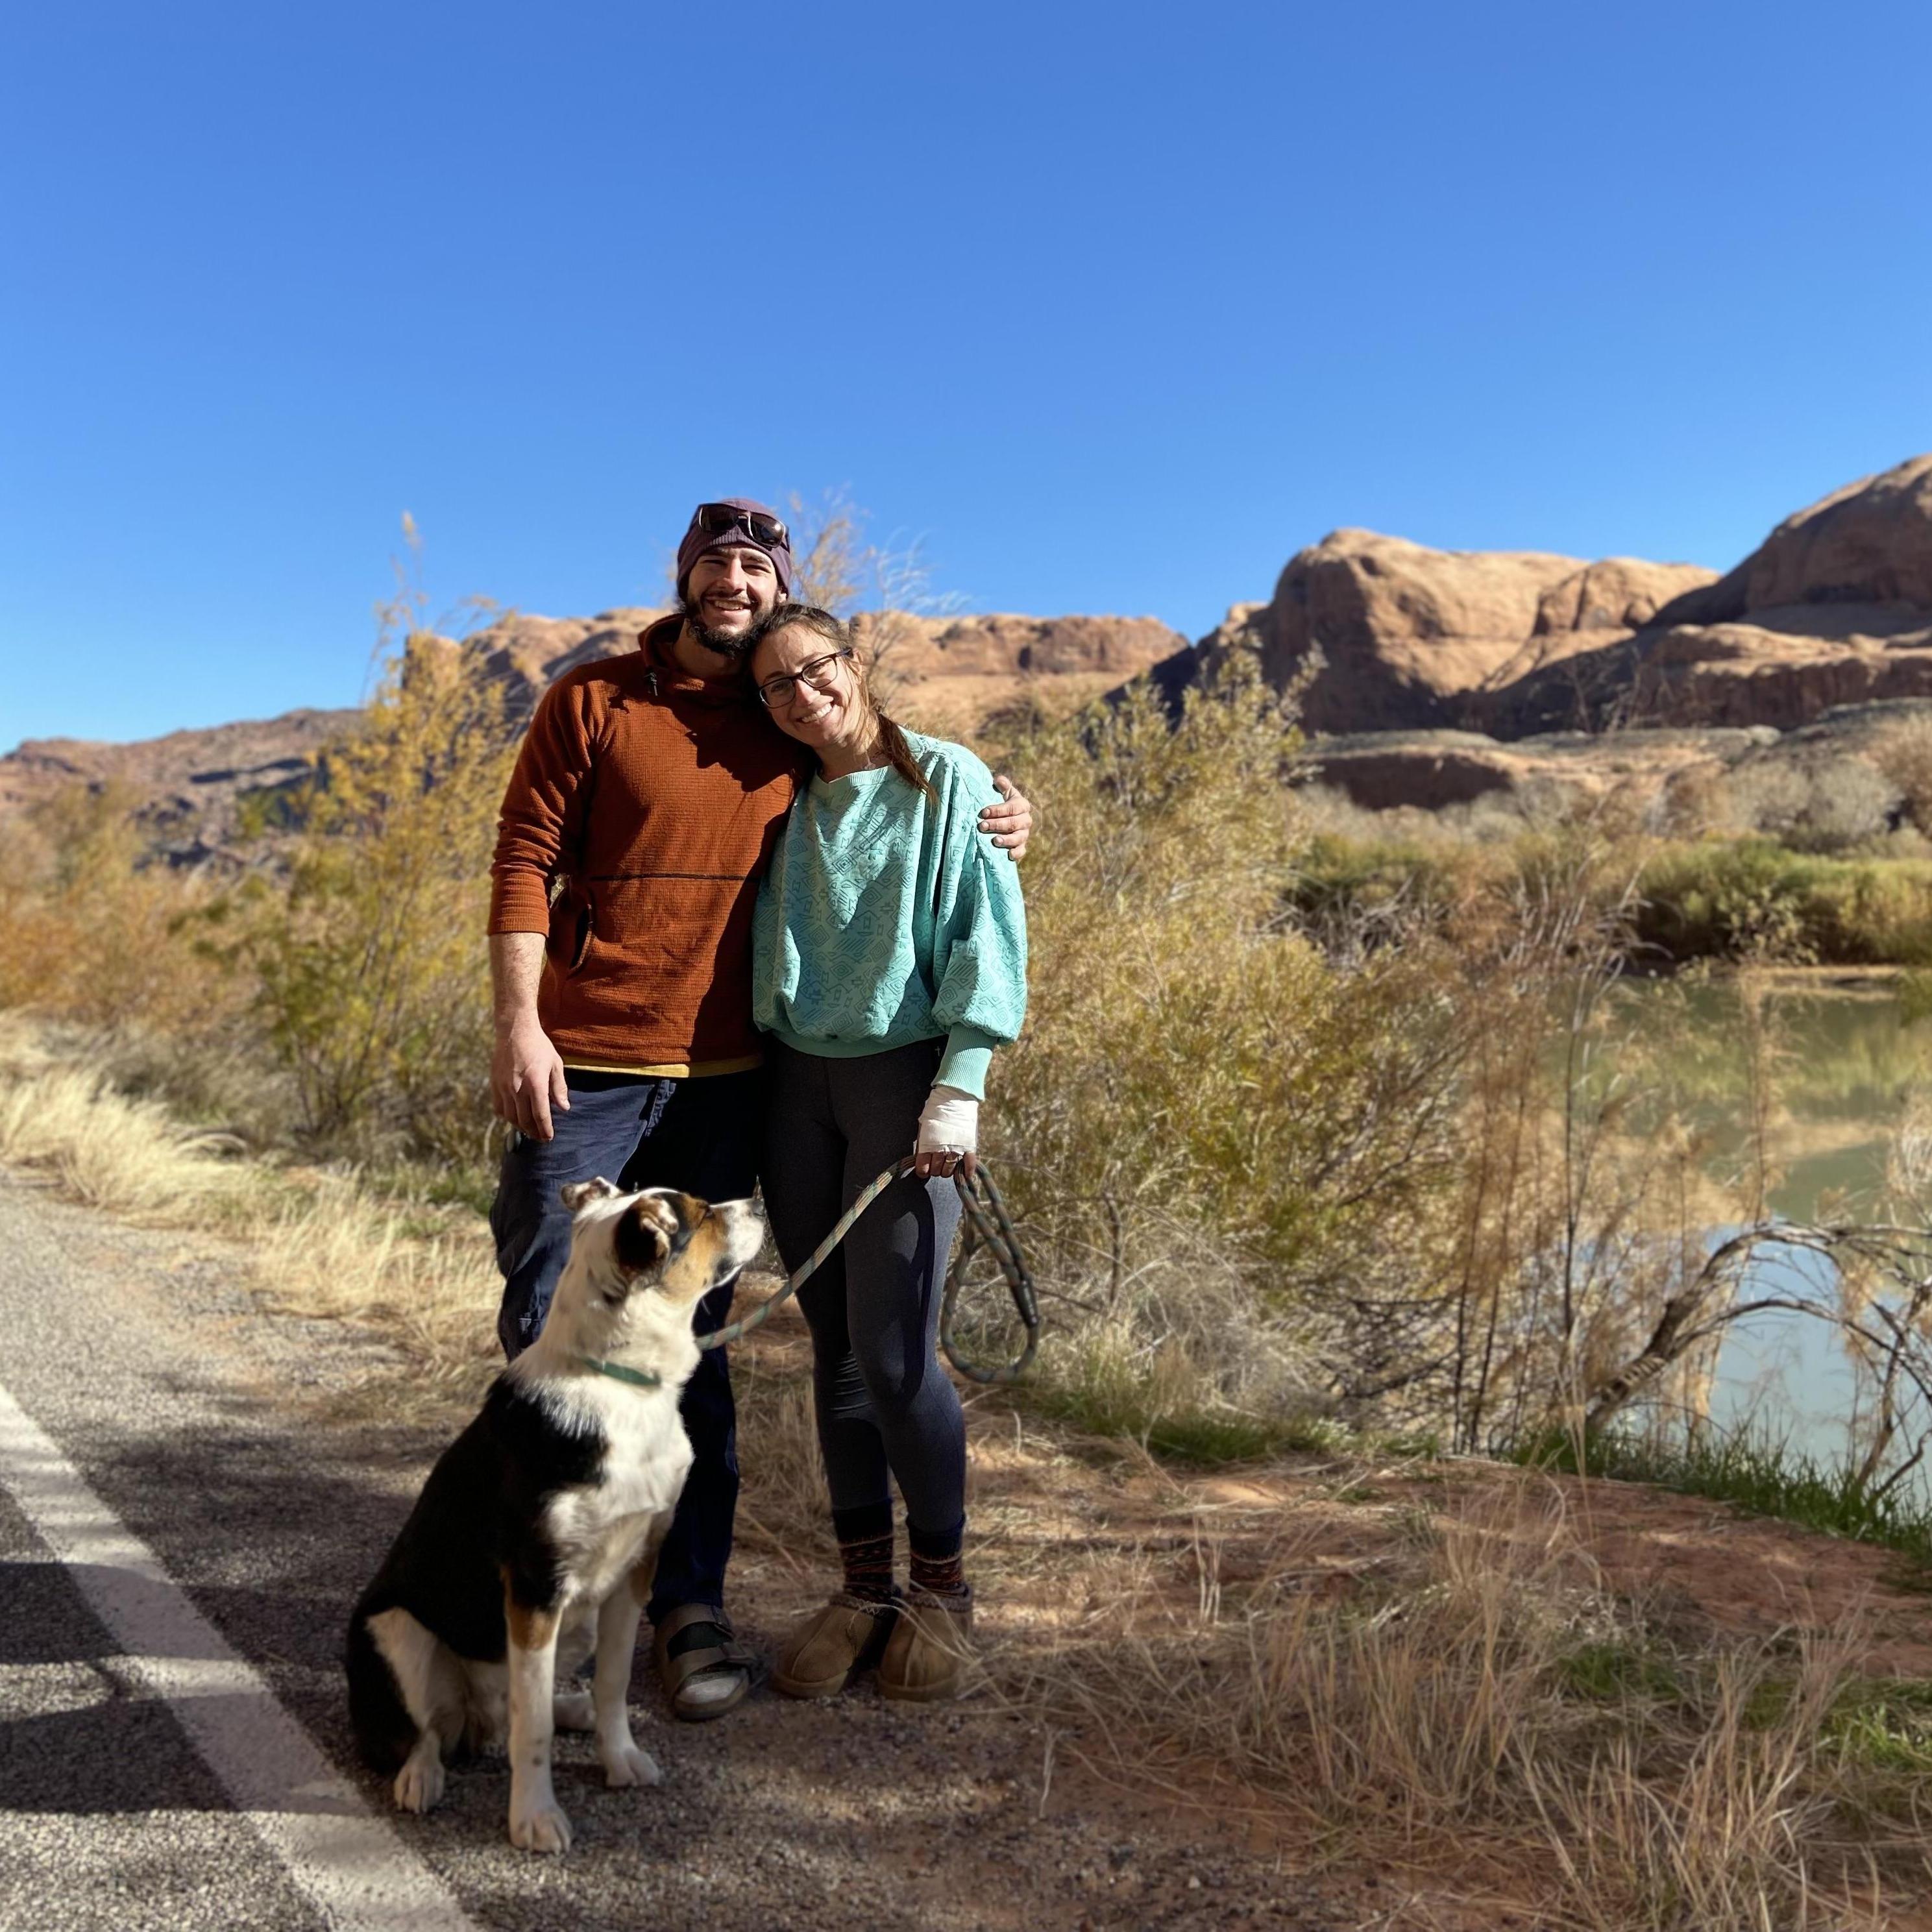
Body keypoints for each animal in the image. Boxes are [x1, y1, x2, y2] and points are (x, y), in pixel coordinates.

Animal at [343, 1175, 764, 1854]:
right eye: (700, 1216)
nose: (756, 1203)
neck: (619, 1384)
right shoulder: (534, 1588)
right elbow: (532, 1726)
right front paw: (534, 1817)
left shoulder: (634, 1572)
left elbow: (613, 1684)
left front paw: (619, 1758)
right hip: (396, 1629)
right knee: (428, 1731)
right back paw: (421, 1776)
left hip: (576, 1624)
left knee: (518, 1708)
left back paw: (574, 1708)